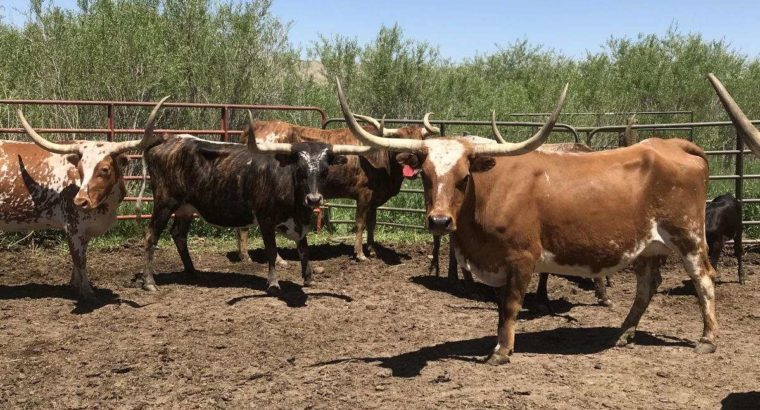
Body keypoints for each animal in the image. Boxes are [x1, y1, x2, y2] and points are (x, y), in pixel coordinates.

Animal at [0, 98, 168, 304]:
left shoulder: (85, 230)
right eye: (79, 168)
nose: (80, 201)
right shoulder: (73, 227)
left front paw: (75, 286)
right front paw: (87, 292)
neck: (106, 207)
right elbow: (80, 260)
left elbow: (80, 258)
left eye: (104, 169)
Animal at [137, 114, 369, 294]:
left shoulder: (301, 221)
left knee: (179, 235)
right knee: (151, 235)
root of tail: (167, 139)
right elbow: (272, 251)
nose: (313, 199)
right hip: (164, 203)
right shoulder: (266, 219)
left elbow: (304, 249)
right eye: (300, 169)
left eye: (324, 170)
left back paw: (193, 272)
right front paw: (274, 283)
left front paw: (309, 278)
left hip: (186, 208)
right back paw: (149, 282)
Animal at [234, 116, 438, 262]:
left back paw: (245, 255)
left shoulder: (374, 199)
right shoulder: (364, 194)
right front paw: (360, 253)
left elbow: (372, 223)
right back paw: (269, 258)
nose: (414, 157)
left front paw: (372, 249)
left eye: (421, 138)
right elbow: (360, 223)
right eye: (400, 137)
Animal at [336, 78, 718, 364]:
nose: (440, 222)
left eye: (463, 177)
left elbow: (511, 306)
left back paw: (708, 339)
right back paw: (623, 334)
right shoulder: (497, 263)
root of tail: (672, 144)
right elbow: (499, 308)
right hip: (647, 246)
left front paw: (501, 351)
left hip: (688, 236)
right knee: (647, 286)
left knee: (703, 280)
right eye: (426, 176)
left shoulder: (522, 258)